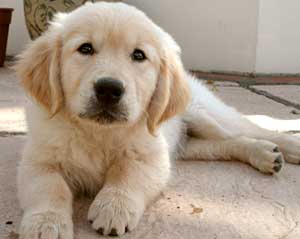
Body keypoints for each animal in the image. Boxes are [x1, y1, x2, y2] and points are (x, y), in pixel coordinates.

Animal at [15, 2, 300, 239]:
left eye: (139, 55)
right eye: (85, 48)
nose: (108, 89)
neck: (98, 132)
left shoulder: (151, 156)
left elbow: (127, 172)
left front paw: (114, 206)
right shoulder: (38, 160)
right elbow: (50, 187)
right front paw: (46, 223)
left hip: (205, 115)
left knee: (247, 129)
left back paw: (284, 146)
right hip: (189, 146)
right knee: (227, 144)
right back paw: (266, 155)